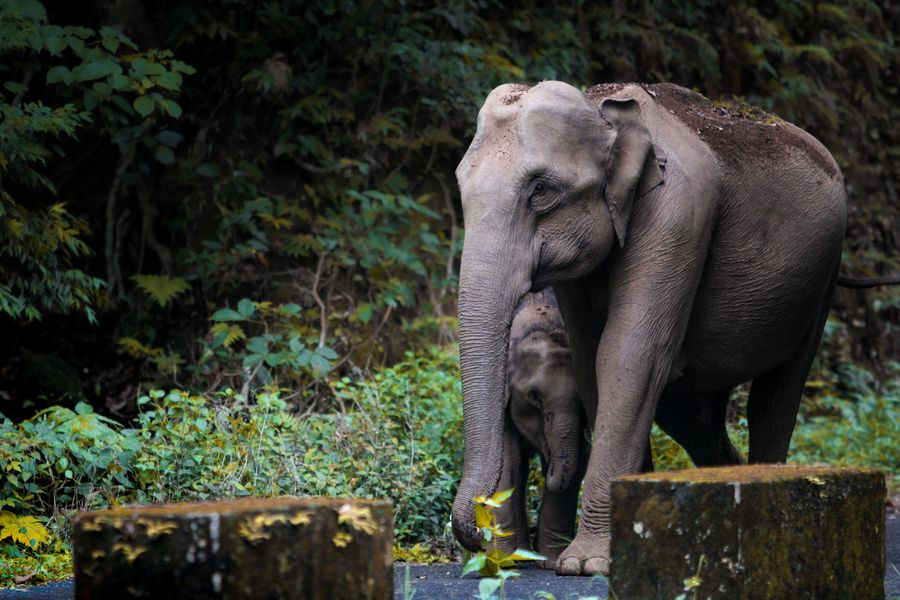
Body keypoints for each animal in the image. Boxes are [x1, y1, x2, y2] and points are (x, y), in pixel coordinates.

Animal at [493, 289, 587, 565]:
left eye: (582, 400)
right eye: (534, 397)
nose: (548, 460)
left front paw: (552, 561)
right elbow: (510, 462)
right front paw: (509, 559)